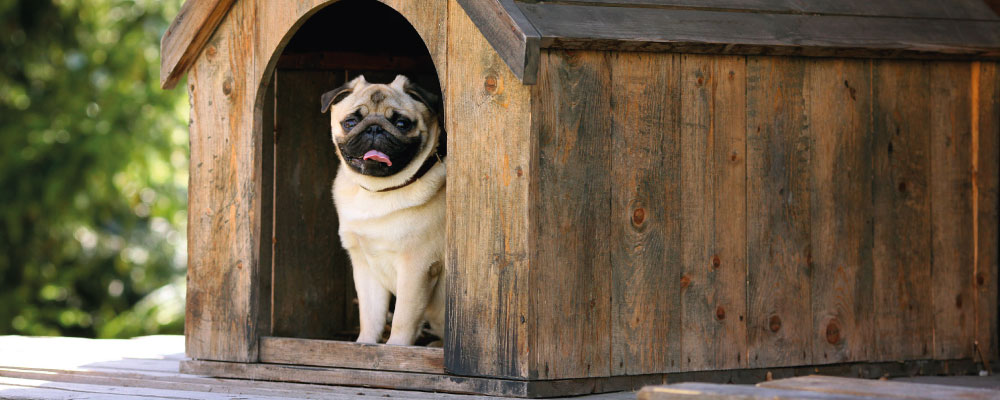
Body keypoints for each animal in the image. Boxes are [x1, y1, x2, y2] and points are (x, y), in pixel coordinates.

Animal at [322, 76, 448, 346]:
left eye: (401, 124)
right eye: (350, 122)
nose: (374, 128)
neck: (378, 191)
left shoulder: (416, 267)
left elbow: (403, 317)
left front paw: (396, 348)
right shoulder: (365, 267)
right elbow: (370, 316)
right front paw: (366, 344)